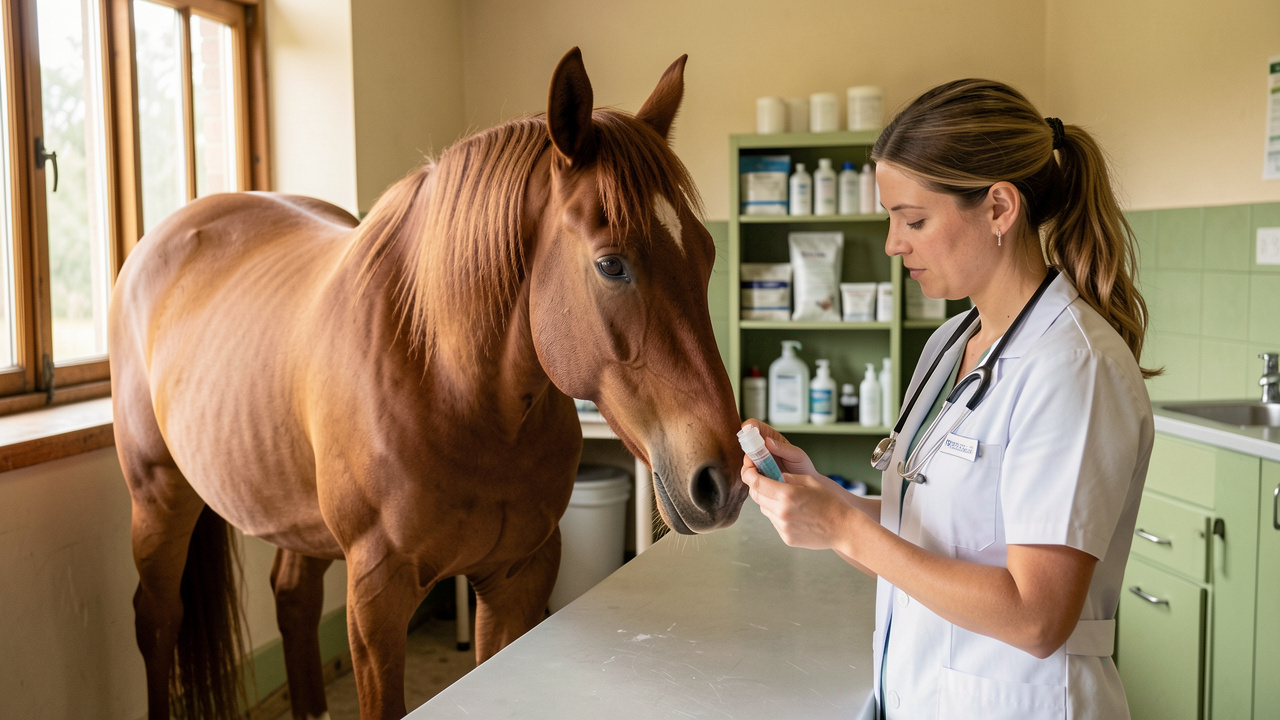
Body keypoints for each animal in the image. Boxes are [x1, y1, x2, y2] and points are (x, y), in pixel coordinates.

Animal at [109, 47, 746, 720]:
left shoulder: (519, 577)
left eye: (706, 252)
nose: (724, 478)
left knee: (293, 599)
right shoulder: (377, 600)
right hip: (159, 496)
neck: (452, 389)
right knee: (158, 617)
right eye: (610, 264)